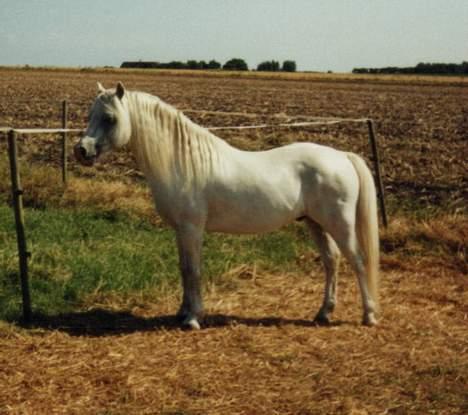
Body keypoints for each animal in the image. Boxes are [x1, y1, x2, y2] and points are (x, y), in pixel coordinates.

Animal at [74, 83, 380, 330]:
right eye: (90, 115)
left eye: (110, 118)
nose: (81, 151)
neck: (182, 162)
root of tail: (341, 155)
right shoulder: (180, 230)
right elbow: (183, 268)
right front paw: (182, 312)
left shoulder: (192, 229)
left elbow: (193, 270)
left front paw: (193, 318)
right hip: (316, 223)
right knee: (331, 261)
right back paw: (323, 313)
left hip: (340, 224)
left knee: (357, 260)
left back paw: (369, 315)